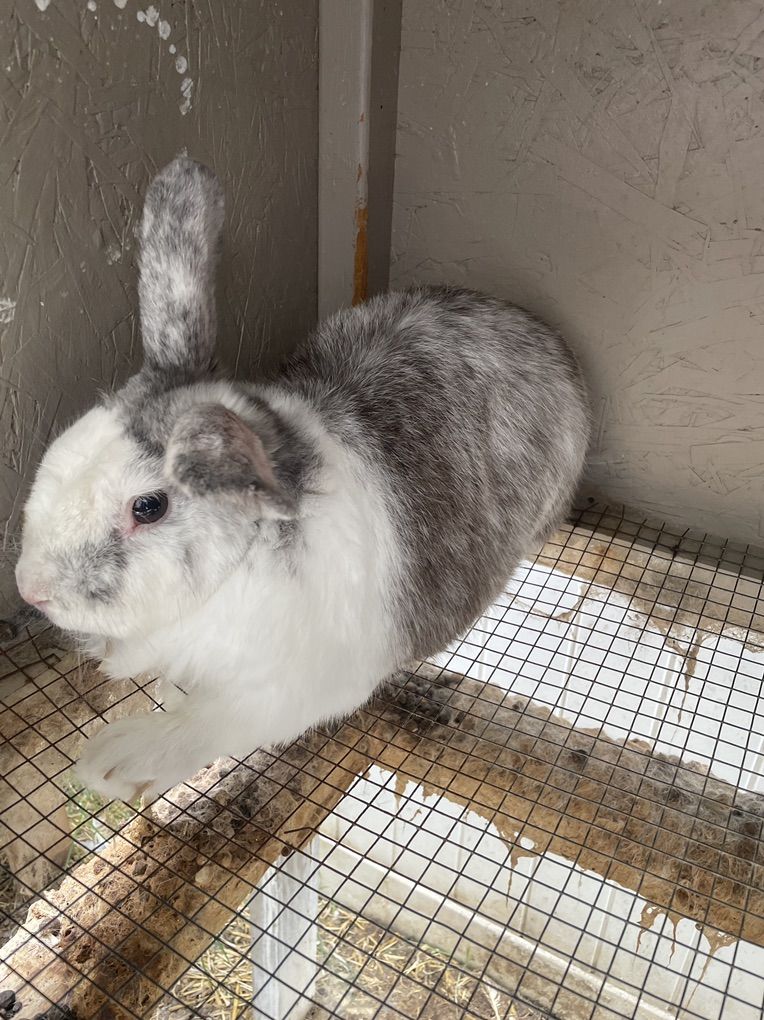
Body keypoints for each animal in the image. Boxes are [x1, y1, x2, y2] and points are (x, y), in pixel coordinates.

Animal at [15, 156, 590, 804]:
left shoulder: (287, 694)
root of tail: (536, 326)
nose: (29, 589)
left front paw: (112, 763)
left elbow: (209, 723)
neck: (227, 584)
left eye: (148, 507)